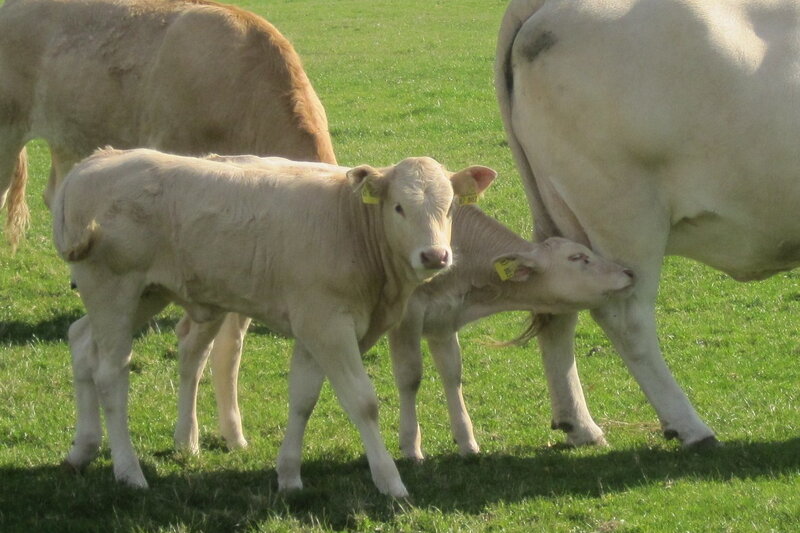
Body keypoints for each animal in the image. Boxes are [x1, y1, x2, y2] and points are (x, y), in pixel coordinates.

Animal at [52, 147, 496, 497]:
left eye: (450, 207)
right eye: (399, 207)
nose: (435, 256)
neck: (350, 224)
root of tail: (94, 161)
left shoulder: (314, 327)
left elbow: (302, 399)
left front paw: (289, 476)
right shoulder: (328, 326)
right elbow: (363, 402)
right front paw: (390, 481)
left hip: (145, 294)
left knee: (81, 342)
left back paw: (82, 450)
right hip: (113, 289)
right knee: (111, 374)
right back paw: (129, 472)